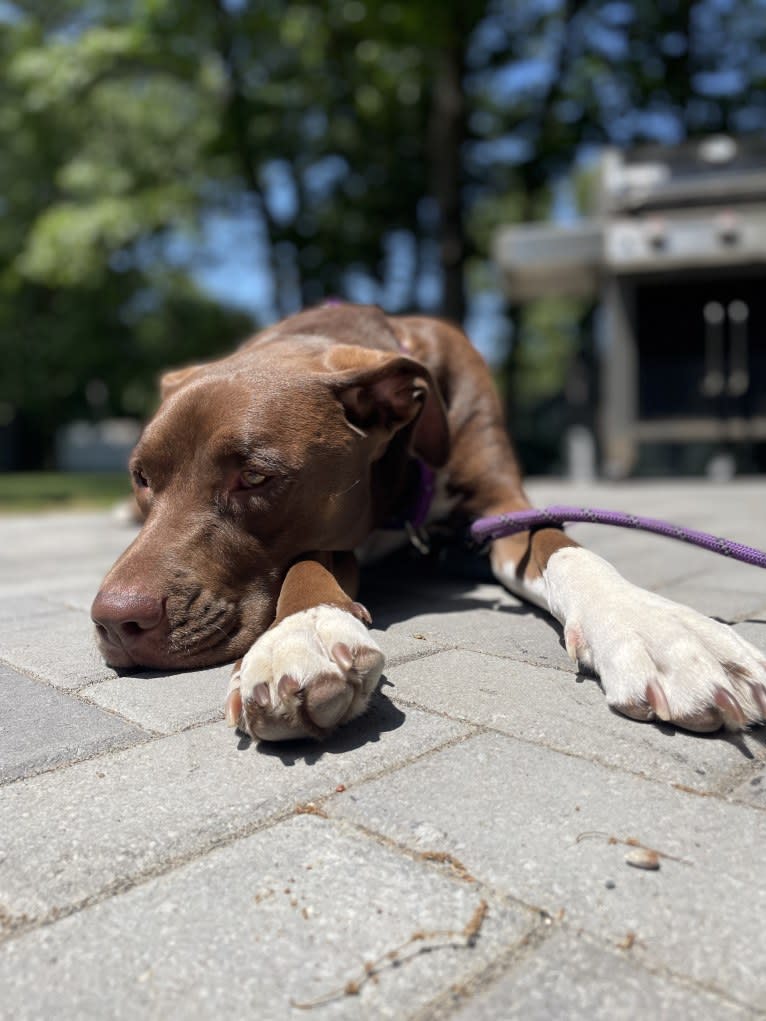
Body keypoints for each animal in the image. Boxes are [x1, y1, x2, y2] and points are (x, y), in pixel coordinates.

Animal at [92, 302, 766, 743]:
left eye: (254, 478)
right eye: (142, 477)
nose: (114, 621)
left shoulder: (503, 506)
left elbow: (562, 546)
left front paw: (659, 630)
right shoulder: (338, 530)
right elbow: (307, 561)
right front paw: (303, 633)